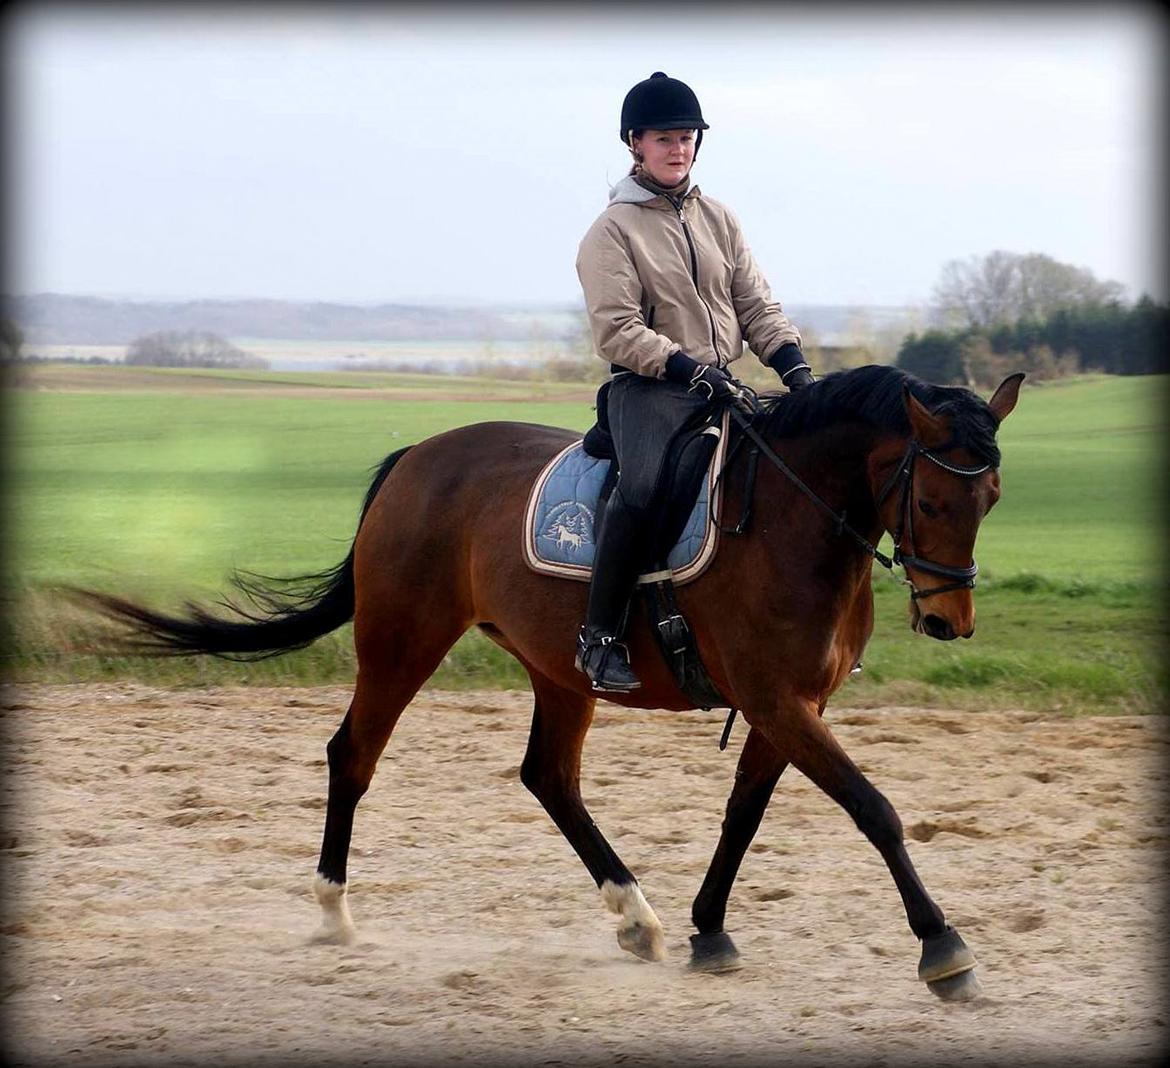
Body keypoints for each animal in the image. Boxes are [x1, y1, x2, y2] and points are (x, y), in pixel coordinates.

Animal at [75, 364, 1024, 1001]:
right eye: (931, 501)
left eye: (993, 500)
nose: (950, 620)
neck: (791, 521)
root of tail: (418, 456)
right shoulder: (777, 699)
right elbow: (874, 808)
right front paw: (943, 947)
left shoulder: (792, 704)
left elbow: (744, 817)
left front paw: (708, 929)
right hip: (402, 643)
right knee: (354, 755)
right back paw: (334, 912)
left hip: (560, 672)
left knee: (548, 778)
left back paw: (636, 918)